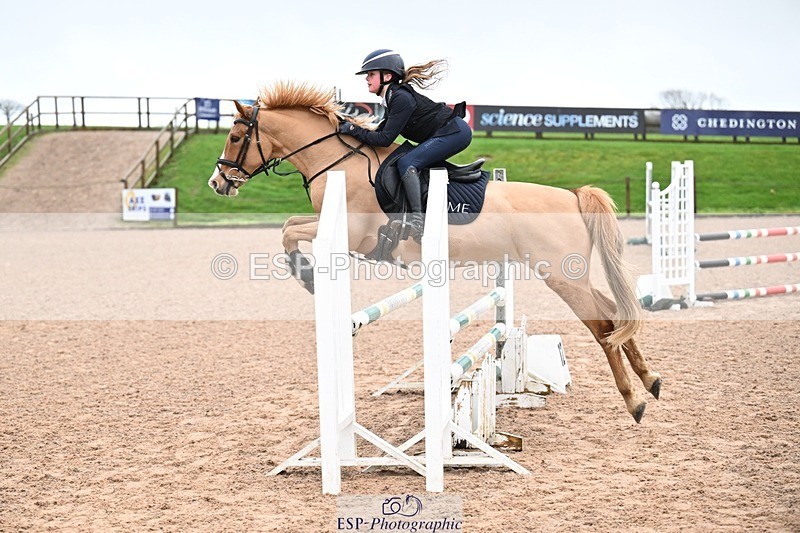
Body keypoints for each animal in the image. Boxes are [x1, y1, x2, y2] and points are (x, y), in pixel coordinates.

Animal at [208, 81, 661, 423]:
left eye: (235, 137)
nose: (218, 183)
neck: (337, 161)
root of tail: (572, 196)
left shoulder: (352, 235)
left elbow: (289, 233)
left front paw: (305, 274)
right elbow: (287, 226)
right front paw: (305, 272)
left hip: (561, 276)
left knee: (603, 325)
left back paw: (634, 400)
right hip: (573, 275)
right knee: (617, 314)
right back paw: (650, 380)